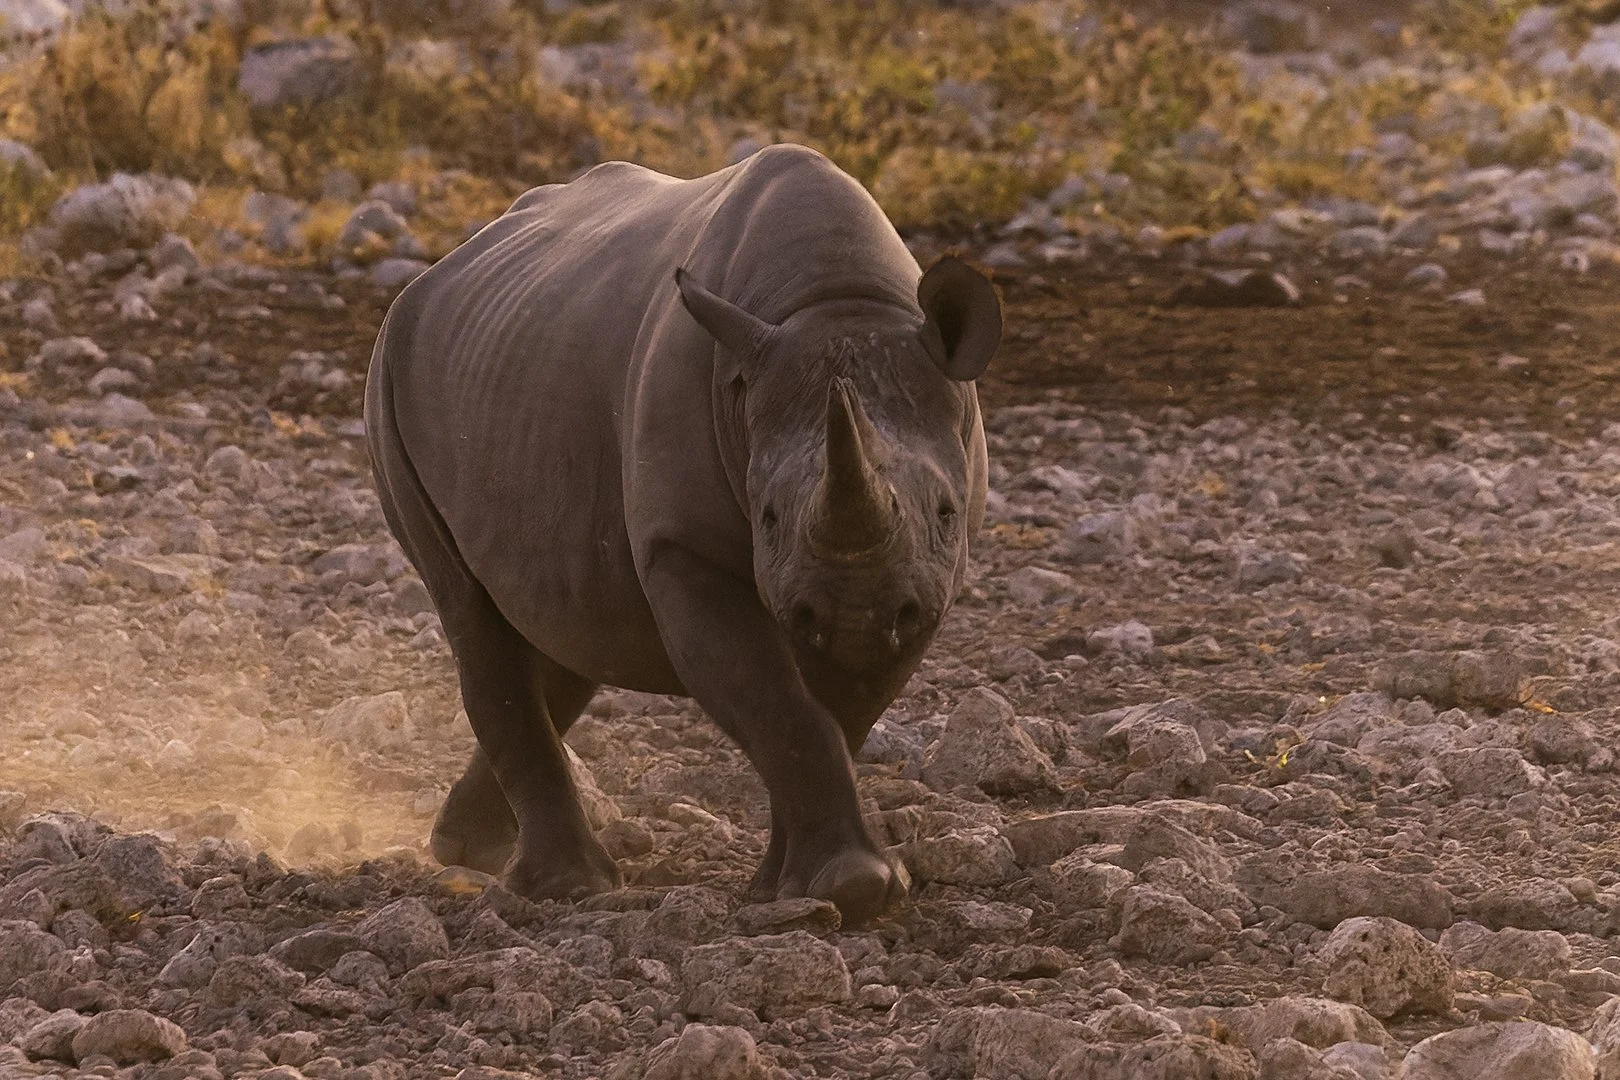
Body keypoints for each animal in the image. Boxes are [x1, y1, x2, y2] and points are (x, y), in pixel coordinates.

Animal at [364, 143, 1002, 921]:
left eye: (945, 511)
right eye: (768, 517)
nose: (852, 610)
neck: (834, 301)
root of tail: (432, 276)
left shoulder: (921, 586)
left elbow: (834, 716)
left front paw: (785, 886)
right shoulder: (685, 549)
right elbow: (782, 706)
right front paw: (855, 889)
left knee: (565, 632)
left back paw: (467, 850)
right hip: (387, 384)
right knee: (471, 614)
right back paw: (572, 888)